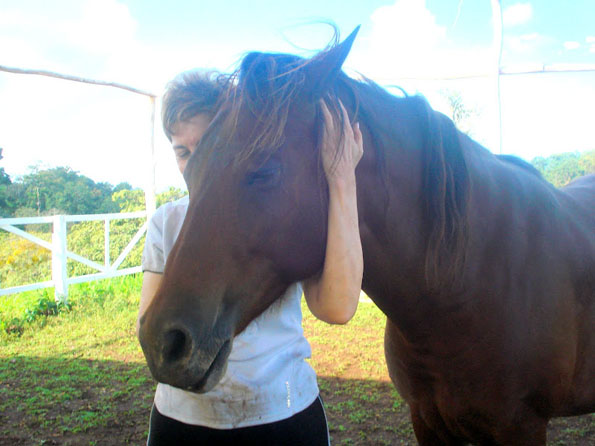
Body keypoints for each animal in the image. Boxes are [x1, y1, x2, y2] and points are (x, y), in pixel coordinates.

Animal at [137, 29, 592, 444]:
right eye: (191, 167)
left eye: (264, 170)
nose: (163, 342)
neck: (465, 288)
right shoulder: (427, 420)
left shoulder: (520, 427)